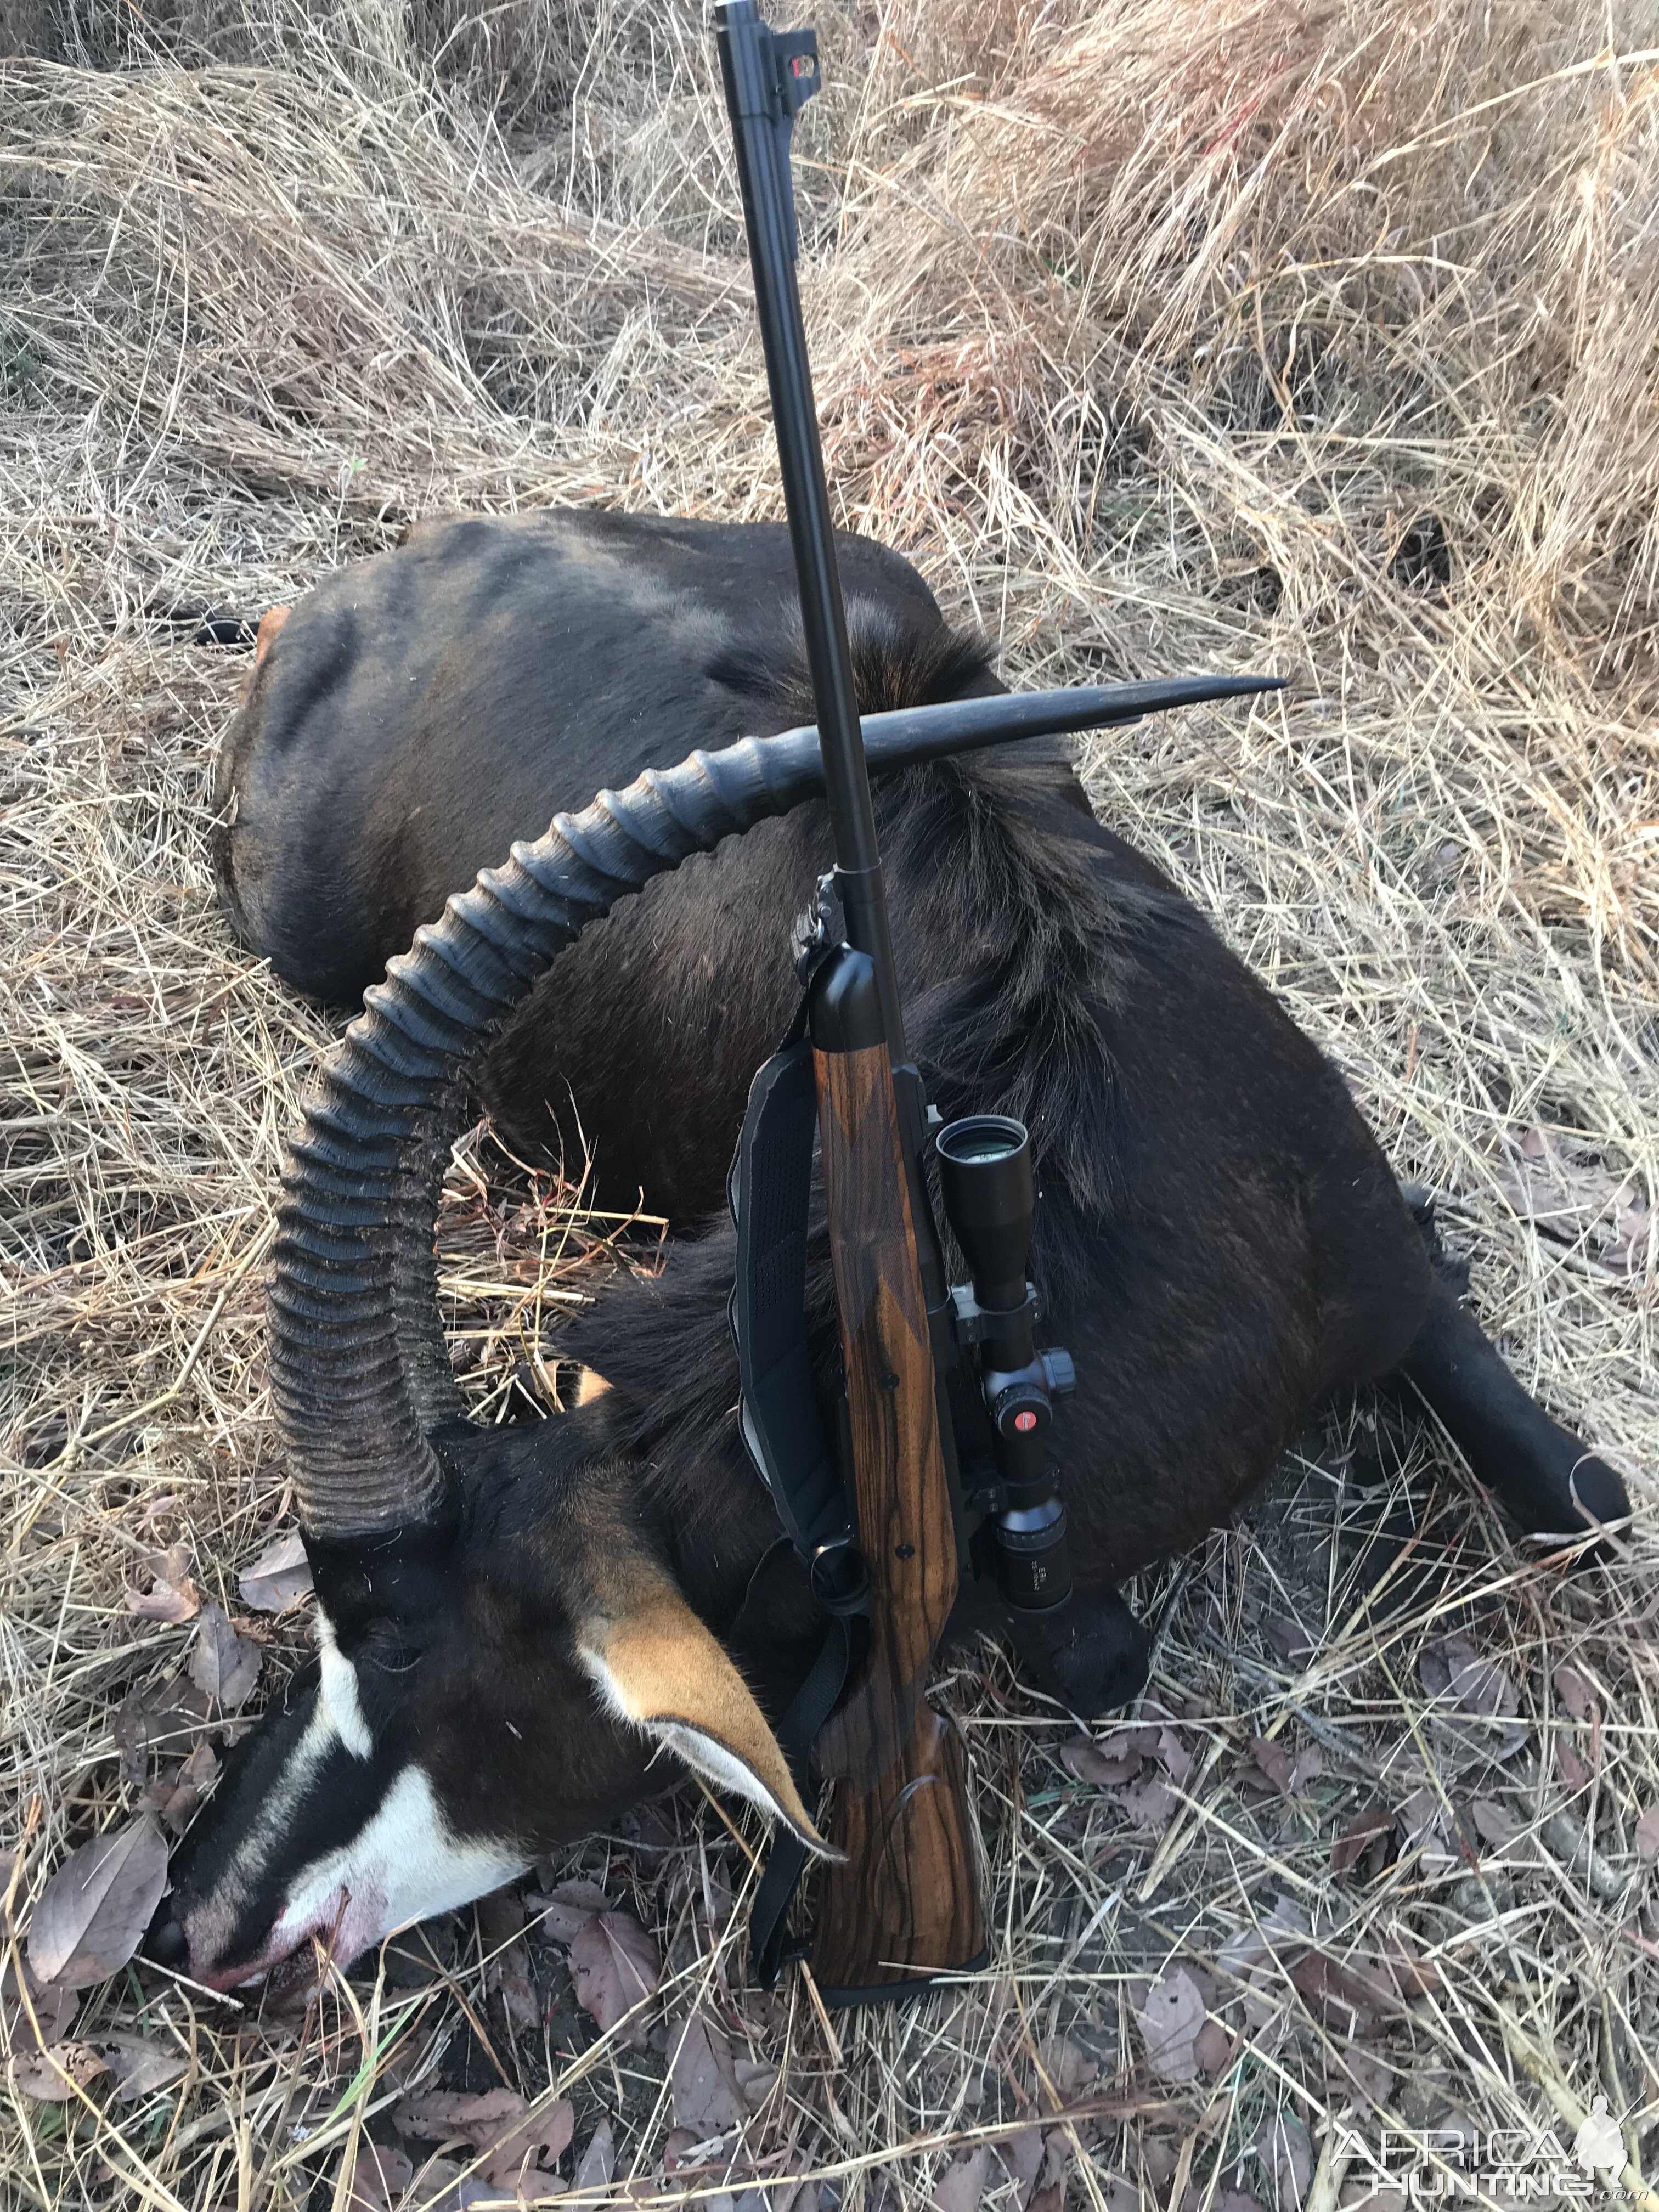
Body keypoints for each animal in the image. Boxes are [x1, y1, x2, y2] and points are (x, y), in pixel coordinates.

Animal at [156, 513, 1637, 1990]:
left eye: (405, 1649)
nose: (194, 1918)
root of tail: (382, 580)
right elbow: (1094, 1656)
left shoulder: (1387, 1272)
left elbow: (1591, 1496)